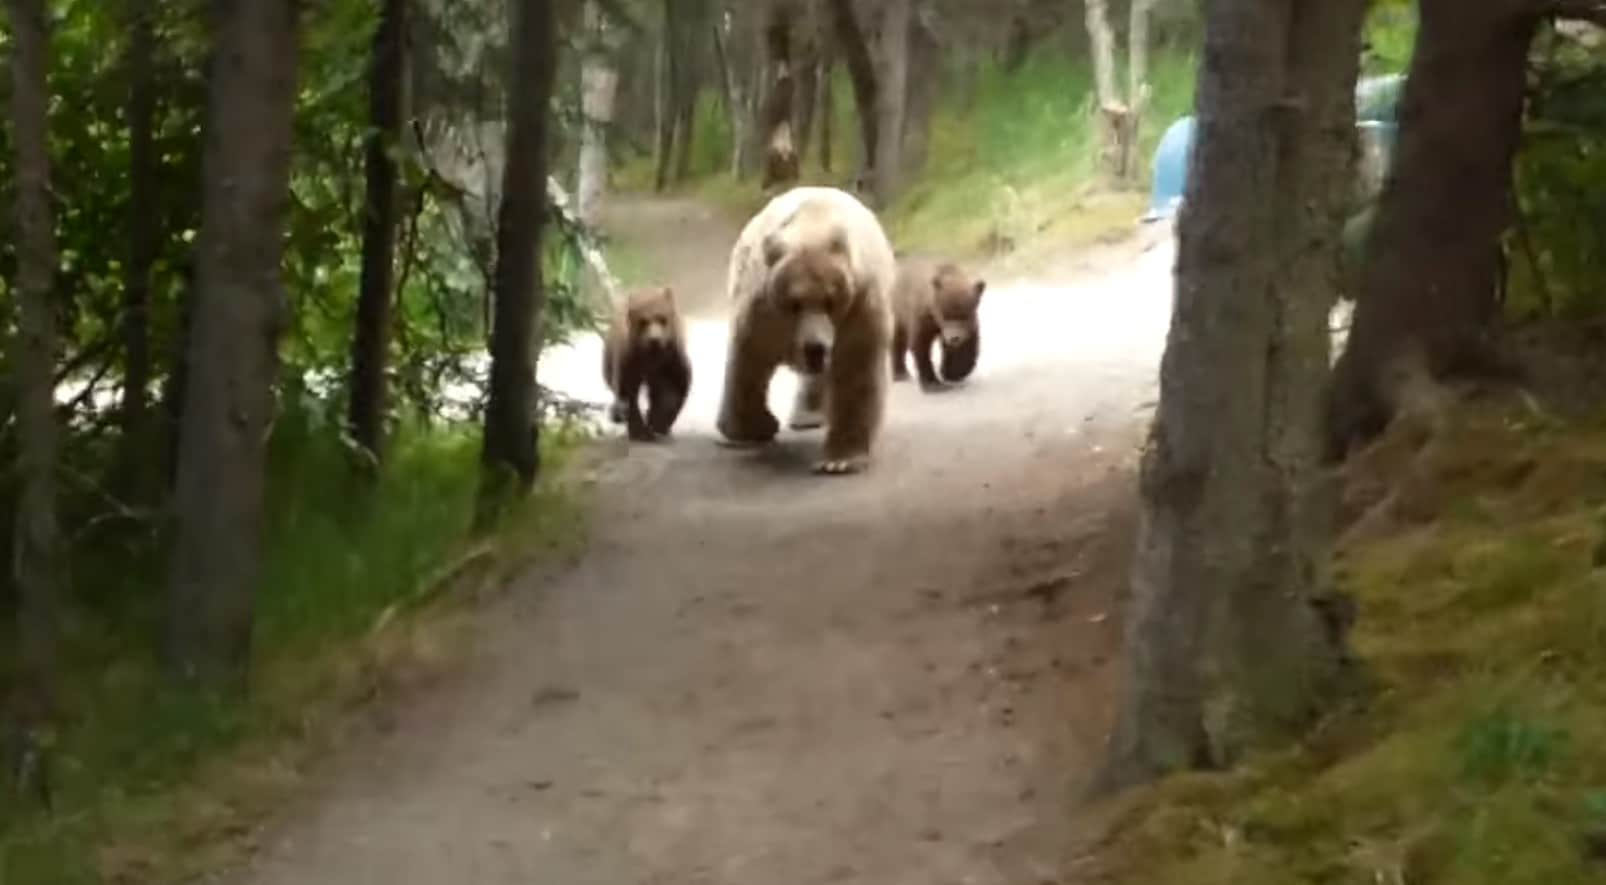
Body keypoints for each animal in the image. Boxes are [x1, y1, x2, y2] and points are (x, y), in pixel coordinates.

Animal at [601, 285, 692, 441]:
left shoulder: (672, 360)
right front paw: (639, 431)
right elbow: (629, 394)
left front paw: (658, 423)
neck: (651, 358)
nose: (654, 340)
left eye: (662, 319)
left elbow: (674, 389)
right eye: (643, 321)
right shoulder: (629, 361)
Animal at [715, 186, 897, 475]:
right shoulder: (765, 310)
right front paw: (752, 428)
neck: (814, 224)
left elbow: (857, 370)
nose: (816, 347)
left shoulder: (859, 305)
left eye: (830, 301)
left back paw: (809, 415)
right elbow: (748, 359)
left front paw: (840, 459)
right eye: (794, 303)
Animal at [890, 257, 986, 391]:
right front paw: (932, 383)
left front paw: (952, 372)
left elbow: (966, 345)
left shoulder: (967, 326)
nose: (954, 338)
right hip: (899, 309)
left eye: (964, 315)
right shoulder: (923, 316)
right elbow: (921, 345)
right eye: (945, 315)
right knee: (899, 339)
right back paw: (900, 373)